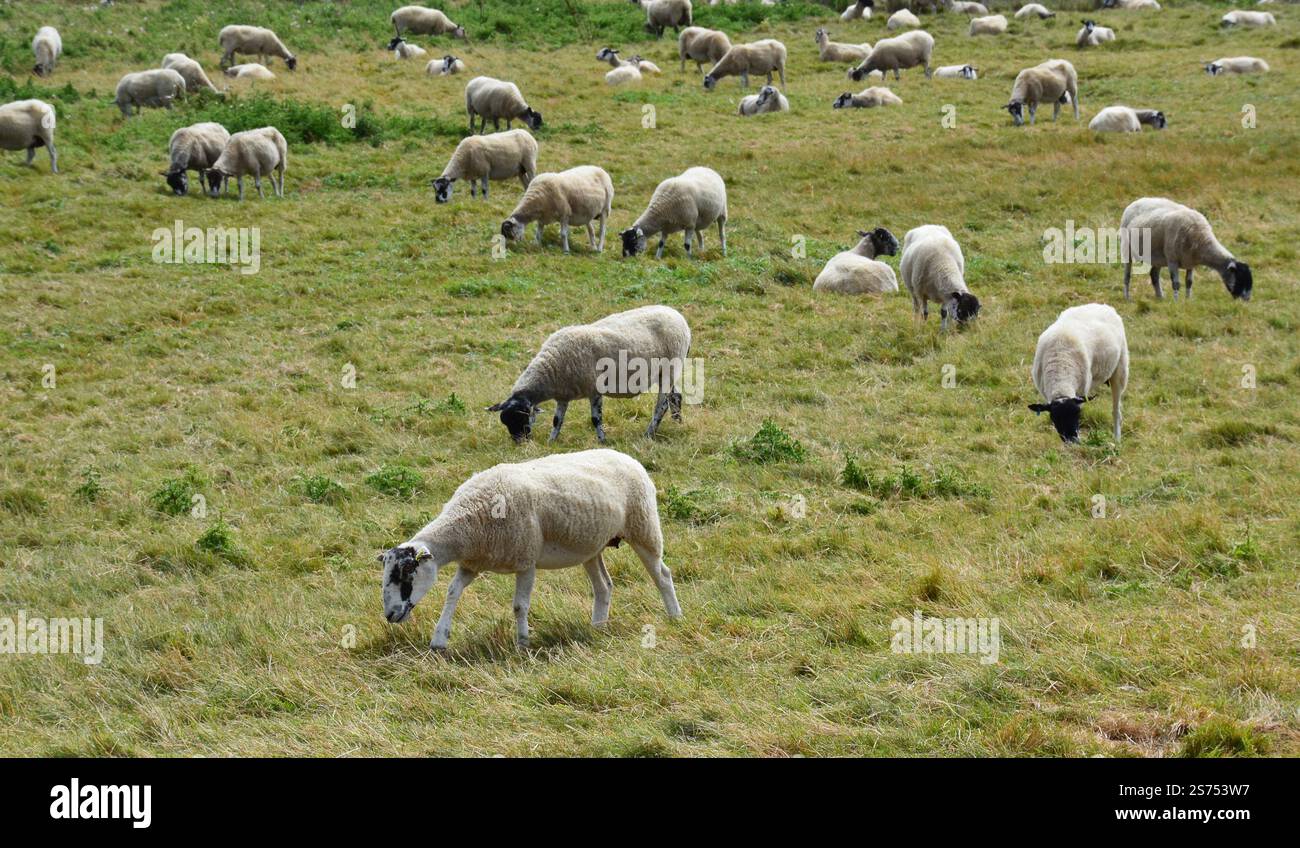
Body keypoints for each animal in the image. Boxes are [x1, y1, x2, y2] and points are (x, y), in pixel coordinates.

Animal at [378, 448, 681, 650]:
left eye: (407, 574)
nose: (390, 615)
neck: (468, 522)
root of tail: (626, 457)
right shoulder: (473, 563)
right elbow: (452, 592)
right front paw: (439, 639)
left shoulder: (526, 559)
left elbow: (519, 605)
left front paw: (523, 642)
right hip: (591, 546)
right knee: (604, 587)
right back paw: (597, 627)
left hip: (643, 528)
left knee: (662, 575)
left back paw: (675, 616)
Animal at [488, 305, 692, 444]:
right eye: (506, 422)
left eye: (521, 419)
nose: (520, 443)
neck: (550, 370)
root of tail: (679, 316)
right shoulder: (563, 395)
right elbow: (557, 420)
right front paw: (551, 441)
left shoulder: (594, 388)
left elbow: (595, 419)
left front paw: (602, 440)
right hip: (667, 371)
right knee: (675, 396)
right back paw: (677, 423)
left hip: (670, 366)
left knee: (662, 404)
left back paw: (649, 433)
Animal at [1028, 304, 1128, 444]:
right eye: (1054, 418)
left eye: (1078, 414)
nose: (1072, 441)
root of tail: (1102, 305)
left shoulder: (1081, 392)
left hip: (1120, 369)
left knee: (1116, 412)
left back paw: (1117, 440)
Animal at [1119, 197, 1253, 301]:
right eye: (1239, 279)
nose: (1247, 300)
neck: (1202, 240)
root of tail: (1136, 201)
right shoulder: (1172, 260)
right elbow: (1176, 284)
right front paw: (1176, 302)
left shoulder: (1190, 262)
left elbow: (1189, 282)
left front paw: (1188, 300)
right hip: (1127, 248)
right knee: (1127, 276)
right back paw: (1127, 297)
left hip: (1158, 256)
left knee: (1154, 275)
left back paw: (1160, 297)